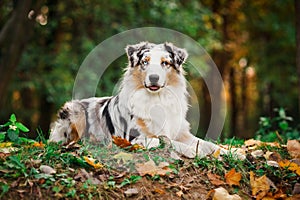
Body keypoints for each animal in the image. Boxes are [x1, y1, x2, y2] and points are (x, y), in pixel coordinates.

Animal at [49, 41, 227, 158]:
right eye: (144, 62)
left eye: (165, 63)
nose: (154, 77)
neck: (157, 99)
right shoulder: (133, 138)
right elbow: (166, 140)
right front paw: (192, 151)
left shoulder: (182, 133)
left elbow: (206, 143)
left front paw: (228, 151)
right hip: (76, 111)